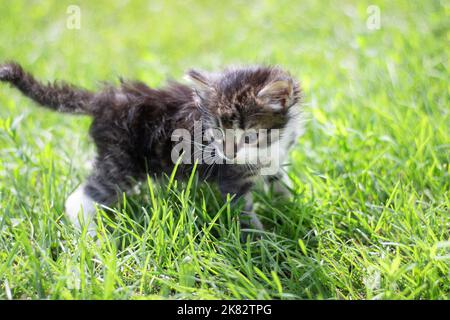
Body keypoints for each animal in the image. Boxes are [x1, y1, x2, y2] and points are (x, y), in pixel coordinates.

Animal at [0, 62, 304, 236]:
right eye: (218, 132)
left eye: (248, 136)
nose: (227, 154)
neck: (270, 145)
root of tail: (105, 99)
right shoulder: (233, 182)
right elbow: (245, 213)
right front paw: (265, 244)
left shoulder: (274, 160)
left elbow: (279, 182)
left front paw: (288, 204)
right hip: (120, 162)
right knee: (79, 200)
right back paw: (93, 239)